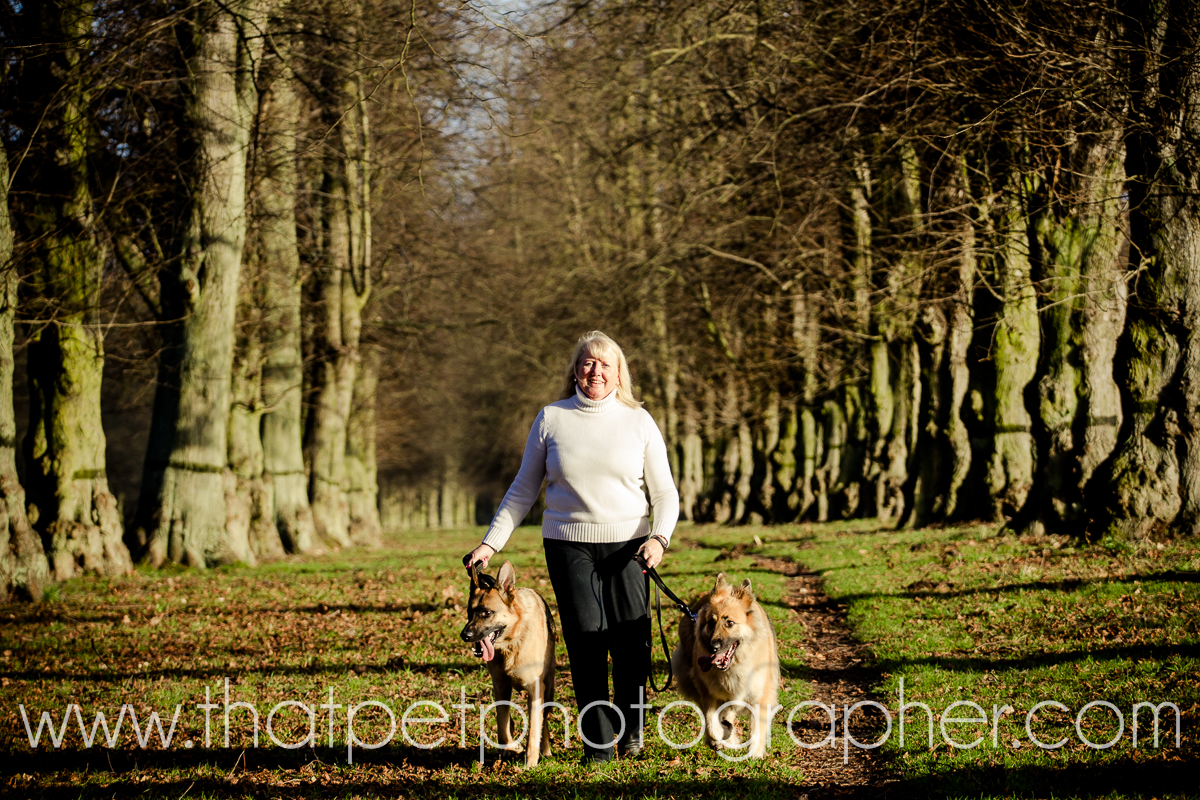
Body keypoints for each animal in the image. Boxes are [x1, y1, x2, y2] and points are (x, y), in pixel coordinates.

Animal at [460, 561, 556, 767]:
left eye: (487, 613)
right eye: (469, 613)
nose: (465, 636)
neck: (513, 642)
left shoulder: (536, 690)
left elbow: (534, 730)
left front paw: (530, 763)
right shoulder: (501, 687)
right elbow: (502, 724)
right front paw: (512, 747)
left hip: (549, 689)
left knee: (544, 722)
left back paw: (545, 750)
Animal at [671, 572, 780, 758]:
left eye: (729, 623)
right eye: (711, 622)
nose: (712, 647)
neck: (734, 666)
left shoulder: (760, 694)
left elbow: (756, 728)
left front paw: (754, 754)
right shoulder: (709, 693)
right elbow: (711, 723)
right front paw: (720, 738)